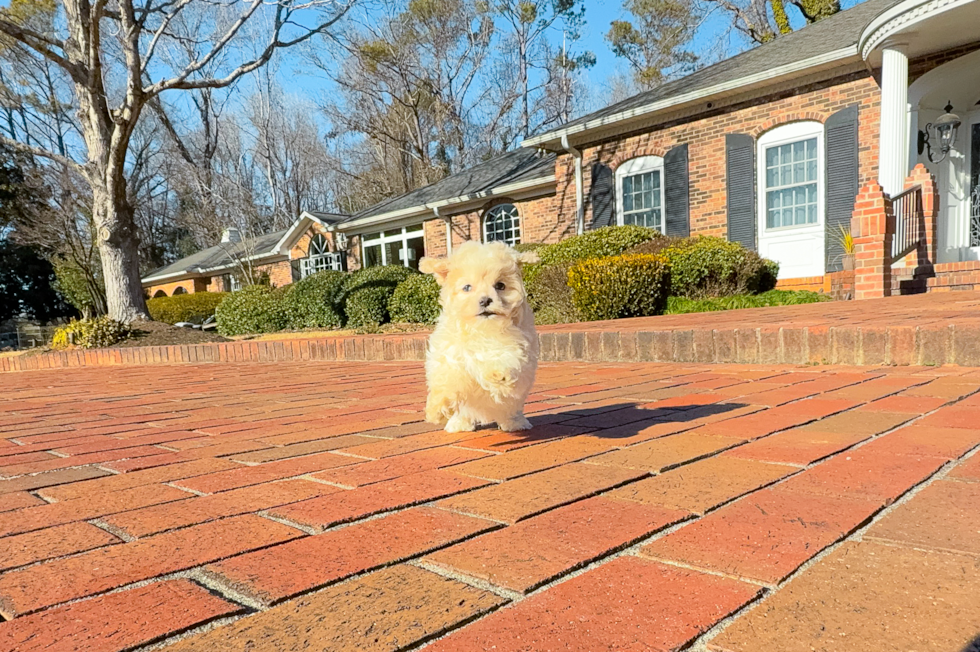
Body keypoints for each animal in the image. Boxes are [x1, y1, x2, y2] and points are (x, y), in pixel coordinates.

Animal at [418, 239, 540, 432]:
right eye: (467, 287)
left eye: (500, 286)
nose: (485, 300)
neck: (480, 328)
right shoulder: (449, 355)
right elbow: (447, 381)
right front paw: (438, 410)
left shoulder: (517, 344)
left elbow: (503, 357)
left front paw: (498, 375)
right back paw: (458, 424)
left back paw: (515, 423)